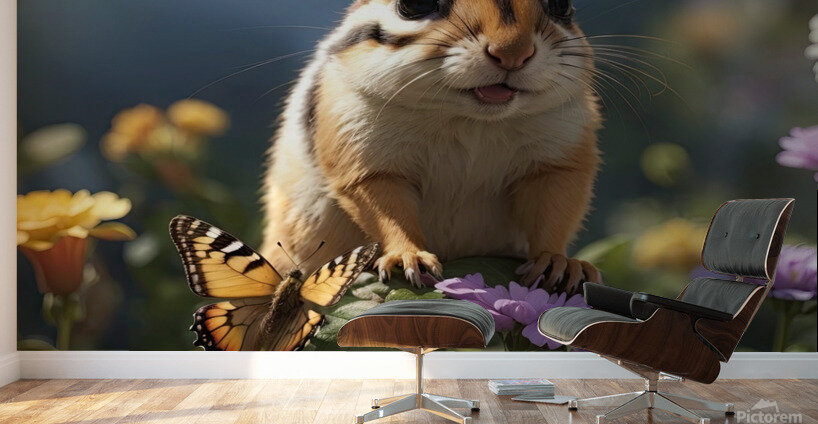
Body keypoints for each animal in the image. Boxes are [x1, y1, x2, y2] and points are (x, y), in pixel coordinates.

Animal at [261, 0, 602, 294]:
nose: (512, 52)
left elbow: (555, 207)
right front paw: (408, 255)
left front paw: (559, 261)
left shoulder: (561, 157)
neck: (472, 120)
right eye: (414, 4)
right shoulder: (361, 152)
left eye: (561, 4)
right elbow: (386, 210)